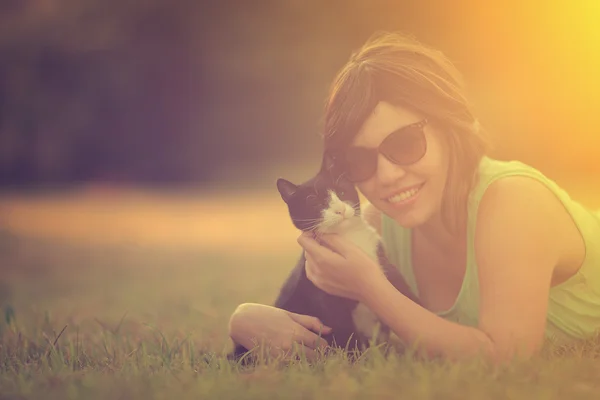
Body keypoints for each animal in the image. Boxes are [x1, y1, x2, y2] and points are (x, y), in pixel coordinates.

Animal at [227, 152, 420, 362]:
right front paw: (354, 360)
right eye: (315, 201)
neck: (349, 237)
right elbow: (345, 329)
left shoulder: (381, 260)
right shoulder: (324, 296)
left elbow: (399, 287)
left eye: (342, 192)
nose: (340, 210)